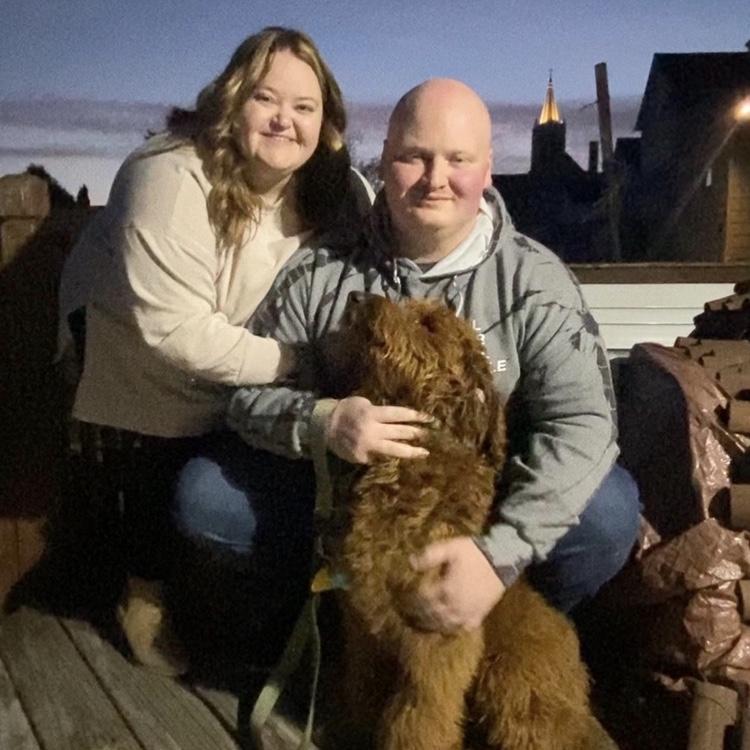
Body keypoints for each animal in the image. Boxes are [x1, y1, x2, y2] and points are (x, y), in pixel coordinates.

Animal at [320, 293, 617, 750]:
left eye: (429, 324)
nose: (357, 297)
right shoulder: (364, 628)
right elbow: (363, 695)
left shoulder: (436, 642)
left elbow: (418, 720)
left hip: (515, 687)